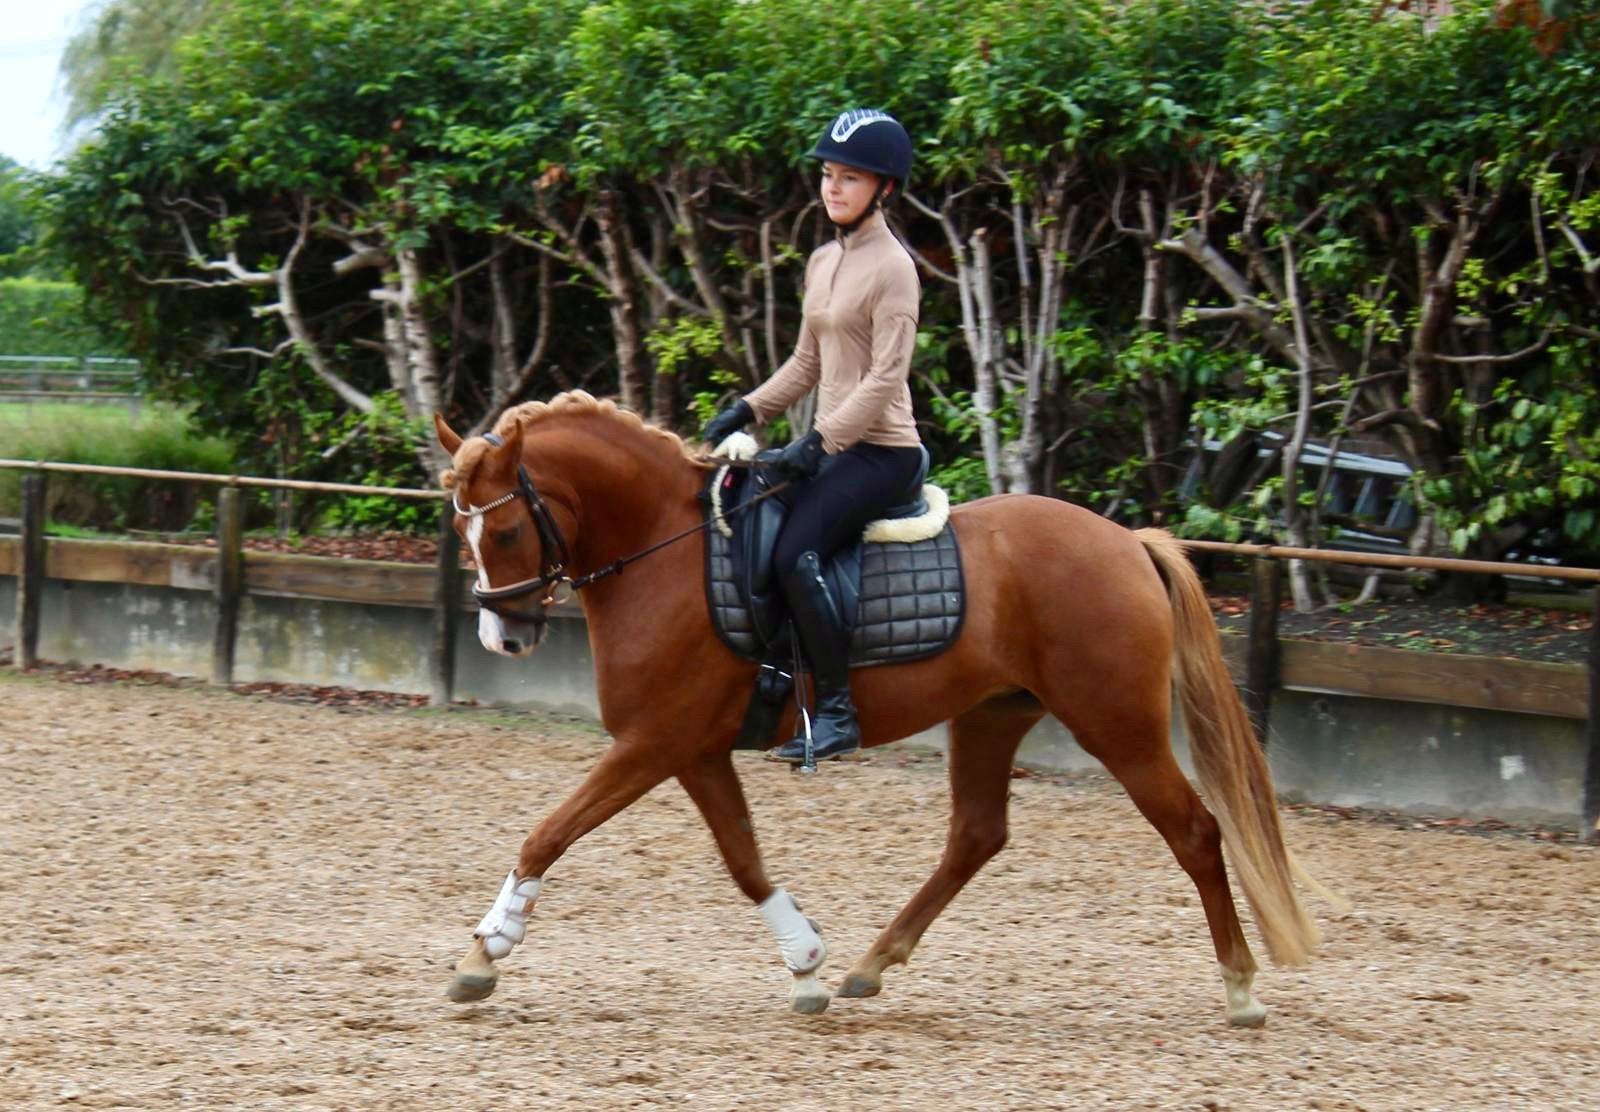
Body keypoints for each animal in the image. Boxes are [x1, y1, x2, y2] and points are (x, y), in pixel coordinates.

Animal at [433, 390, 1324, 1027]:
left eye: (504, 532)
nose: (503, 635)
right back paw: (872, 964)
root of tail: (1129, 543)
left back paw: (1241, 989)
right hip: (993, 715)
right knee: (977, 835)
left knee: (1195, 832)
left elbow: (551, 830)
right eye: (464, 533)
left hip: (1118, 727)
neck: (663, 550)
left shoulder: (654, 742)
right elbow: (743, 858)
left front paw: (485, 954)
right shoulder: (693, 750)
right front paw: (807, 966)